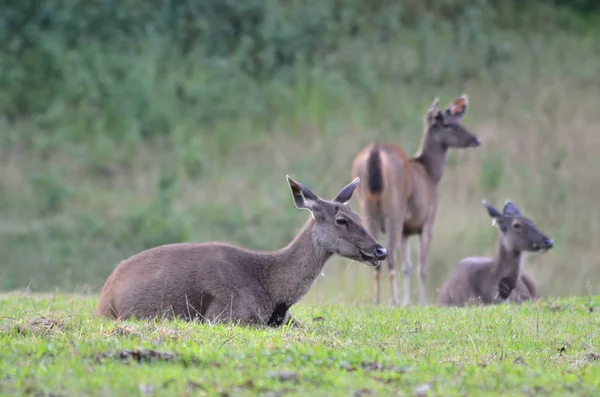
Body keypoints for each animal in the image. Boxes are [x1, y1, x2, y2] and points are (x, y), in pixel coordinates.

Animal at [96, 175, 386, 326]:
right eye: (341, 220)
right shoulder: (224, 314)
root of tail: (104, 294)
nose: (380, 250)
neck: (274, 294)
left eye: (358, 215)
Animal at [350, 94, 480, 304]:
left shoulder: (406, 230)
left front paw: (407, 302)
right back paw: (393, 301)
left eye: (459, 122)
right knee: (390, 255)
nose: (475, 139)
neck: (430, 174)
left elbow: (408, 267)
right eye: (449, 124)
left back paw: (377, 301)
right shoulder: (427, 222)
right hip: (394, 208)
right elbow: (422, 267)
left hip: (366, 206)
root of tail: (375, 152)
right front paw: (421, 302)